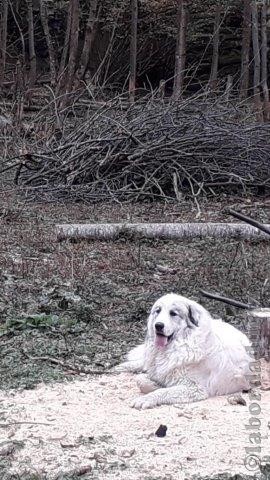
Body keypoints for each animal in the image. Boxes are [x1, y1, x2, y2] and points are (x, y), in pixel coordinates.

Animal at [119, 292, 252, 408]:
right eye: (158, 311)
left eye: (173, 313)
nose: (158, 325)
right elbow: (140, 380)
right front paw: (154, 384)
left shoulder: (194, 388)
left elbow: (163, 391)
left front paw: (148, 396)